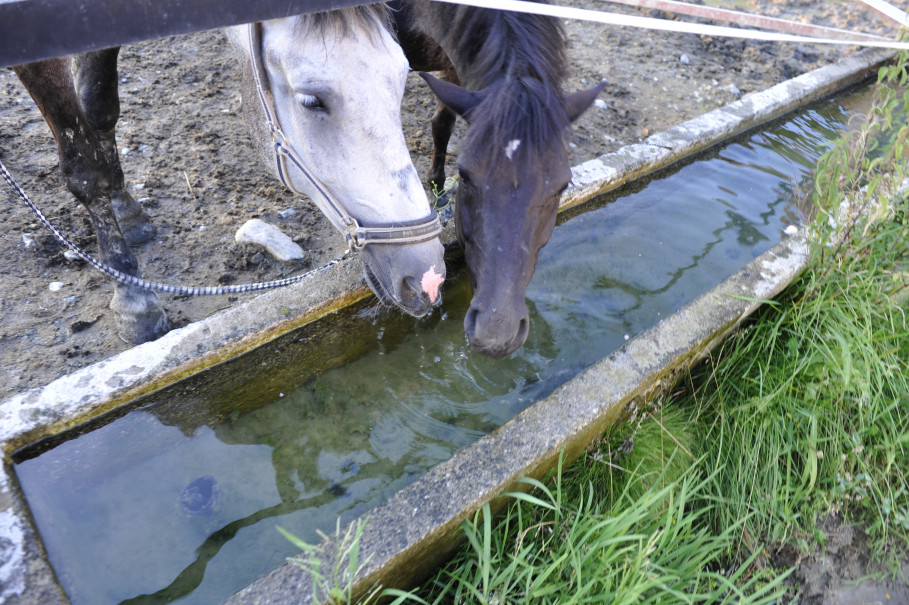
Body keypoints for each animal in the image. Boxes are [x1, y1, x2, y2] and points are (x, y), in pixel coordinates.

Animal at [390, 0, 604, 356]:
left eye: (563, 186)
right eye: (464, 175)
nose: (496, 334)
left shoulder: (455, 59)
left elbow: (442, 123)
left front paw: (437, 188)